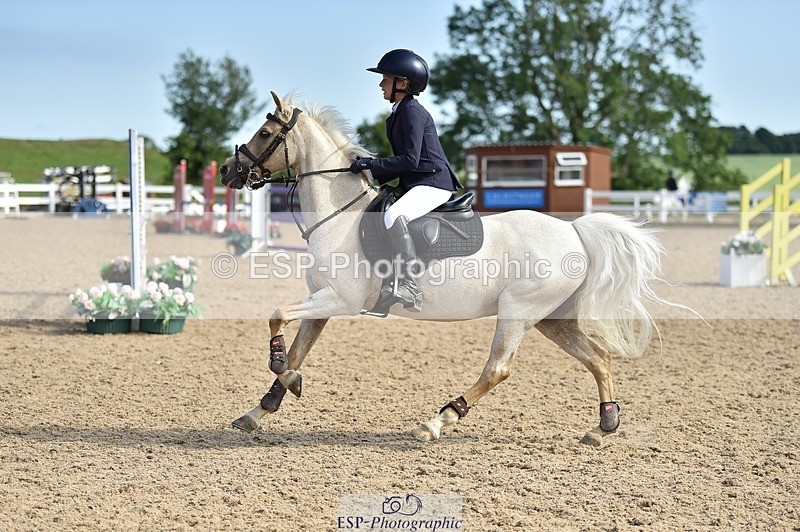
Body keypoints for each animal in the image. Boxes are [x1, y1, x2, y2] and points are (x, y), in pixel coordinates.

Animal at [219, 92, 671, 446]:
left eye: (264, 134)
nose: (227, 170)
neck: (339, 214)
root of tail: (574, 230)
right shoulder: (322, 302)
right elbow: (295, 347)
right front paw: (263, 407)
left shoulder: (340, 300)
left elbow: (276, 316)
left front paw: (284, 374)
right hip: (552, 318)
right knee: (599, 358)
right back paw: (604, 426)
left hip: (518, 311)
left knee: (498, 369)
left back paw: (436, 422)